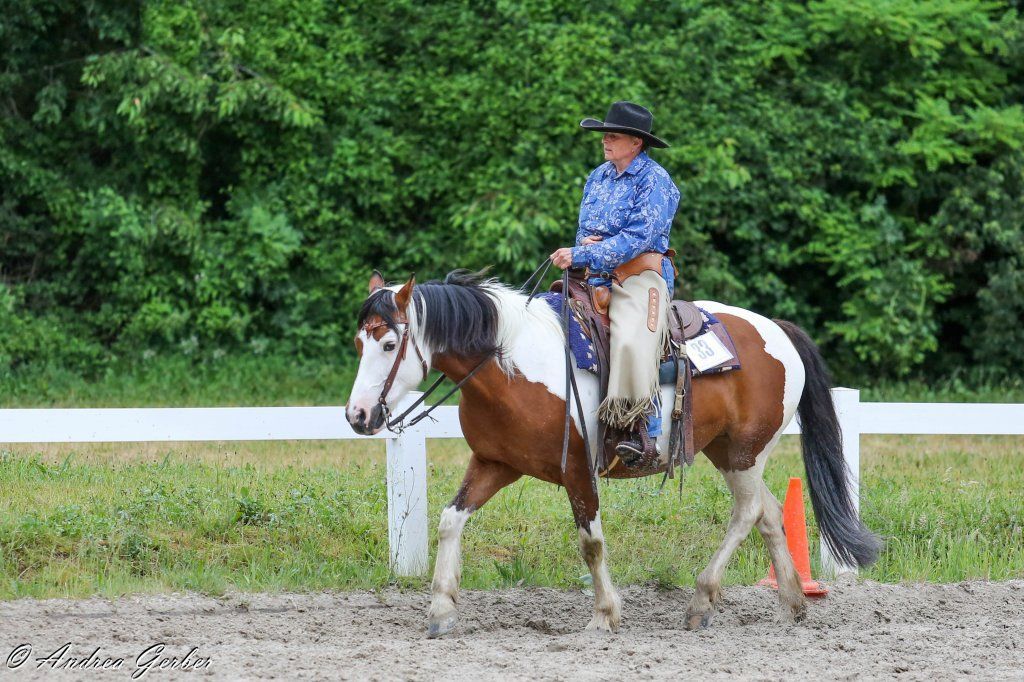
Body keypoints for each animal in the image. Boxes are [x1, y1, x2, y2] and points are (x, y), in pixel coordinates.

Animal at [346, 269, 880, 636]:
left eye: (389, 342)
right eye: (358, 342)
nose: (357, 416)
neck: (511, 364)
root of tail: (777, 329)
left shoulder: (578, 468)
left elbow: (591, 543)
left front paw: (604, 615)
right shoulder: (495, 464)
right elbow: (449, 521)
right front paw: (440, 609)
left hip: (746, 451)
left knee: (747, 512)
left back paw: (701, 601)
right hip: (728, 453)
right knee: (769, 512)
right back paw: (792, 602)